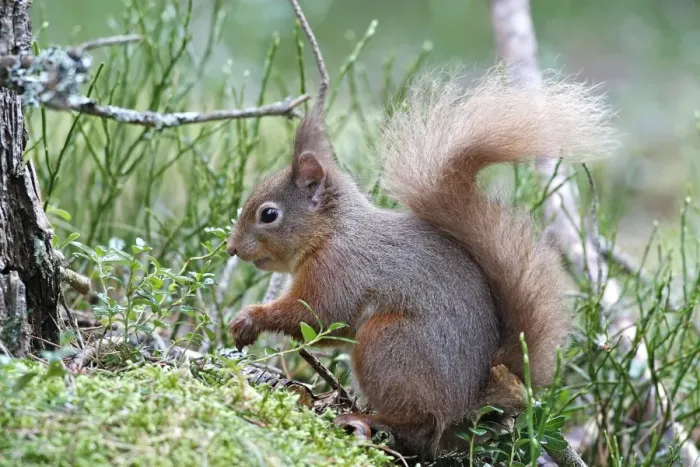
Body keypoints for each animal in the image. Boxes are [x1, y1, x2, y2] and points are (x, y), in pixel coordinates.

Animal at [226, 69, 615, 460]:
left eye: (269, 214)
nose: (231, 249)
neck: (332, 232)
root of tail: (470, 406)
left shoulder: (339, 268)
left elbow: (318, 316)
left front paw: (249, 318)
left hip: (388, 344)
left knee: (419, 422)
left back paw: (367, 419)